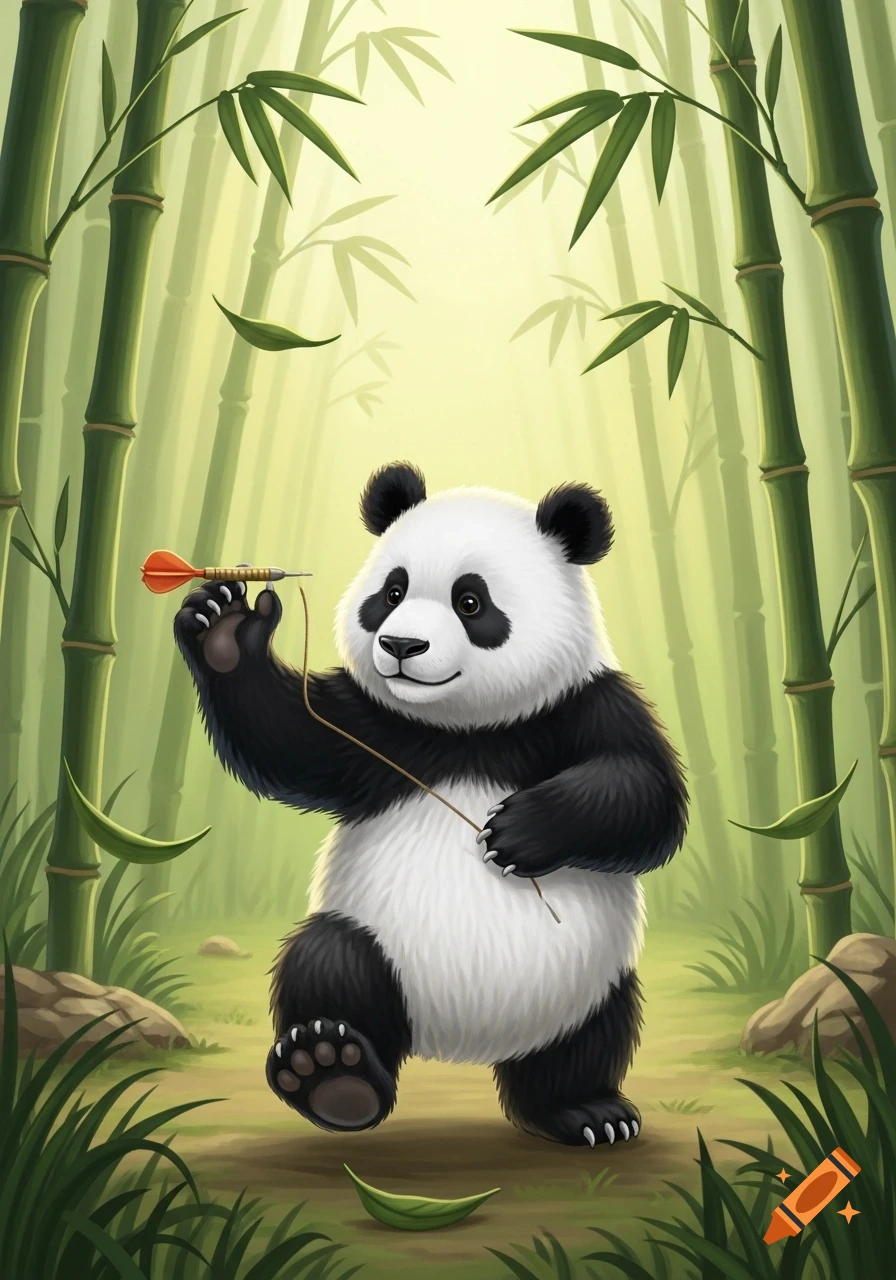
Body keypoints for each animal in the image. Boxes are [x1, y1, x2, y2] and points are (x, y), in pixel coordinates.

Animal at [174, 462, 687, 1148]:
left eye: (471, 602)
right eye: (392, 592)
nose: (401, 645)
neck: (467, 730)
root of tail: (462, 1041)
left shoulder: (584, 703)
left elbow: (646, 795)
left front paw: (515, 834)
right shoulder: (377, 730)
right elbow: (287, 738)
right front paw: (225, 631)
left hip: (589, 981)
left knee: (588, 1039)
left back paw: (586, 1112)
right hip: (379, 954)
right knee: (330, 963)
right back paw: (333, 1075)